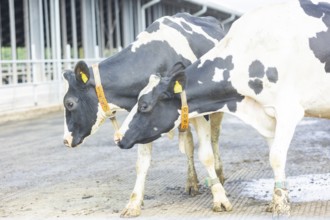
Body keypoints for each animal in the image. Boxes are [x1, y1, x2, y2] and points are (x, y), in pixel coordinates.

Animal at [62, 13, 227, 217]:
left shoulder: (199, 111)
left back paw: (219, 174)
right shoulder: (143, 121)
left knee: (214, 138)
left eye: (69, 103)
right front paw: (133, 204)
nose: (66, 140)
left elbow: (206, 154)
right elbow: (142, 162)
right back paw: (191, 182)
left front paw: (219, 198)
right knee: (188, 144)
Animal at [114, 0, 330, 217]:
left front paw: (279, 204)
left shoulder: (288, 110)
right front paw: (281, 196)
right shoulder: (268, 115)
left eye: (144, 105)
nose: (118, 137)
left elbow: (276, 156)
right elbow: (275, 155)